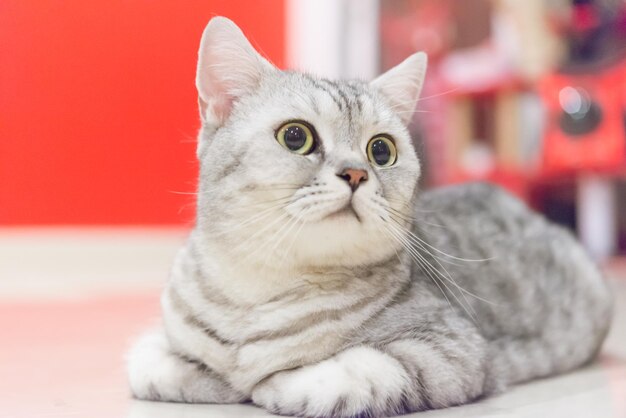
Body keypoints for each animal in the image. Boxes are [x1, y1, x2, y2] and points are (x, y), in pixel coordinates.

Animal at [125, 17, 608, 418]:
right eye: (295, 137)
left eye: (381, 150)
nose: (356, 173)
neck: (258, 291)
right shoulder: (157, 343)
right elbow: (150, 362)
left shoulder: (454, 348)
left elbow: (349, 372)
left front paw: (270, 382)